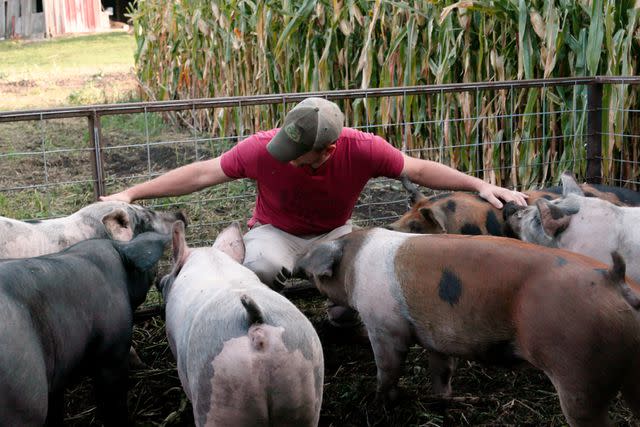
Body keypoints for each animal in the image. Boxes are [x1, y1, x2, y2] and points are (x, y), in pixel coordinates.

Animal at [296, 227, 640, 424]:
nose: (298, 263)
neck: (354, 262)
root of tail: (614, 280)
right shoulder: (435, 336)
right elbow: (442, 370)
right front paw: (443, 400)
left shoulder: (384, 326)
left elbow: (388, 367)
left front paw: (380, 403)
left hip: (579, 369)